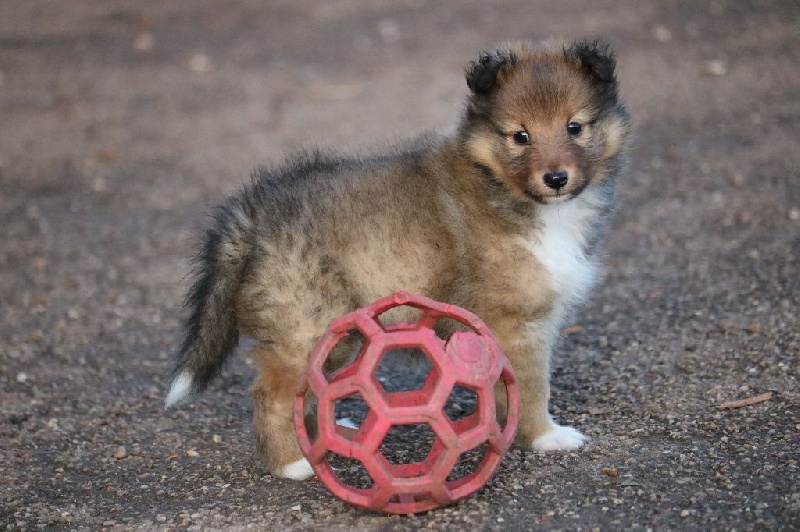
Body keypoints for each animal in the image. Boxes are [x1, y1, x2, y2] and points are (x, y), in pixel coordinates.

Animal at [167, 39, 632, 480]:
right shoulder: (515, 323)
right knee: (272, 394)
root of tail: (250, 216)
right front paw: (546, 437)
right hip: (305, 325)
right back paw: (292, 464)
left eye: (575, 127)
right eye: (520, 136)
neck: (501, 184)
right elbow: (533, 386)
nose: (556, 179)